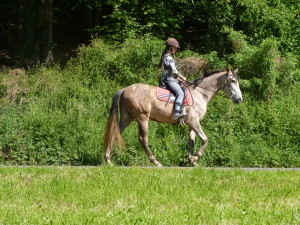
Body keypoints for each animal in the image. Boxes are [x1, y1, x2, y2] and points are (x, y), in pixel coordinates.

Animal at [104, 67, 243, 167]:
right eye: (233, 81)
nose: (239, 99)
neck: (200, 93)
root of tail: (125, 89)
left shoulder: (192, 124)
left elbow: (191, 142)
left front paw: (192, 161)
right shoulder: (194, 122)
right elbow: (205, 140)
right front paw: (195, 157)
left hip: (127, 118)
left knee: (115, 133)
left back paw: (108, 160)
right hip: (142, 118)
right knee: (143, 139)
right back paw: (155, 162)